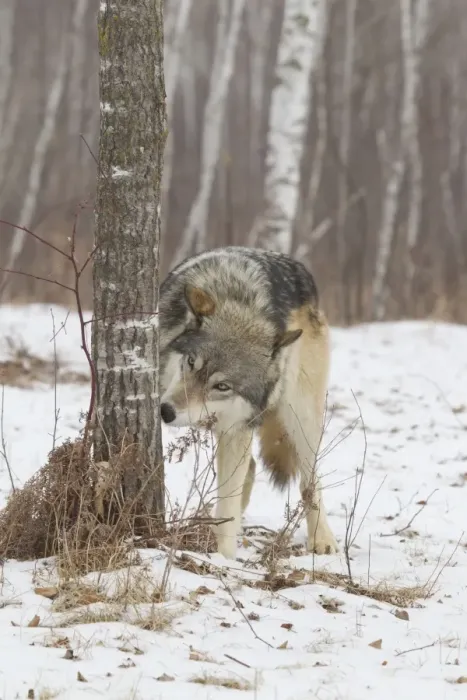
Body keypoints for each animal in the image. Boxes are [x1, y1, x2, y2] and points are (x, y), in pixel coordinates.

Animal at [158, 246, 338, 560]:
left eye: (222, 386)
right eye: (191, 362)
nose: (166, 412)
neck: (239, 297)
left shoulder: (235, 429)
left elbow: (228, 500)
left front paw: (223, 559)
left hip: (300, 418)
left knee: (309, 479)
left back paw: (322, 539)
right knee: (252, 468)